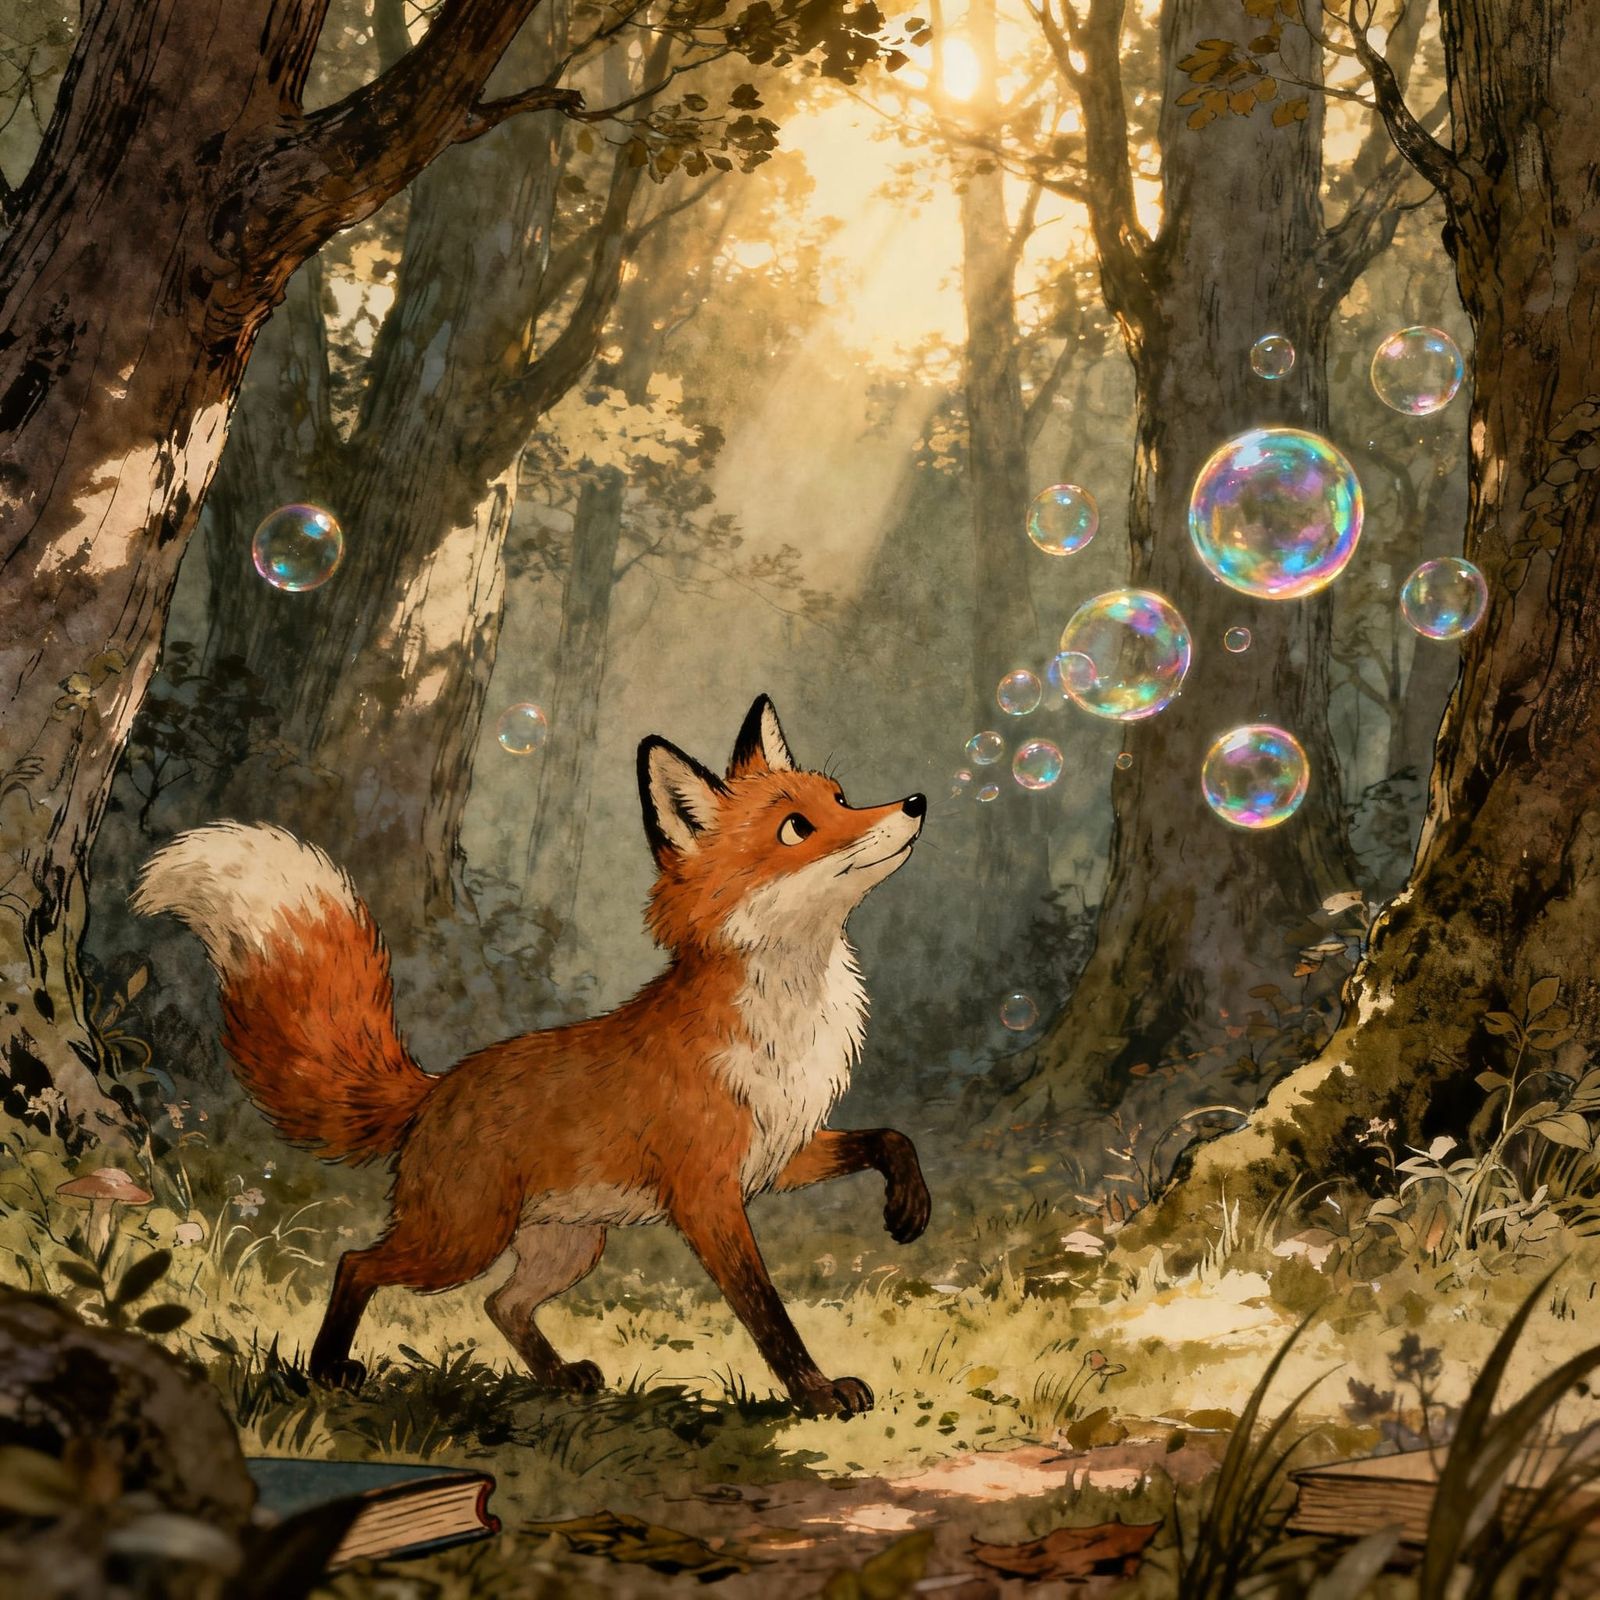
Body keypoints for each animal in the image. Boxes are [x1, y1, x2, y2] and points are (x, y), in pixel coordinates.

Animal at [132, 695, 930, 1418]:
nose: (917, 801)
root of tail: (436, 1088)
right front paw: (816, 1394)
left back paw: (558, 1378)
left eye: (841, 797)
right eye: (797, 828)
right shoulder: (708, 1194)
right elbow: (769, 1313)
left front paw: (909, 1206)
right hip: (459, 1239)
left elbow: (891, 1137)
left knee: (502, 1305)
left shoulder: (780, 1153)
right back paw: (328, 1369)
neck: (790, 1017)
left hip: (567, 1246)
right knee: (360, 1263)